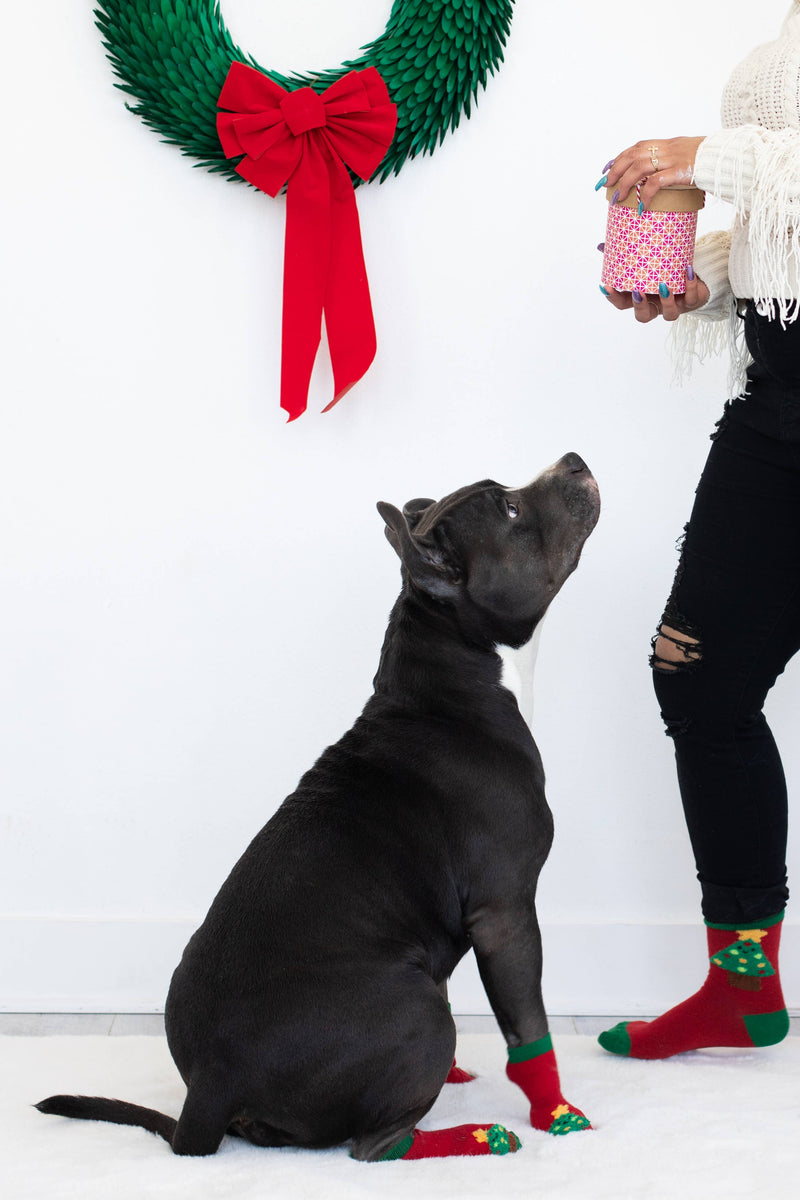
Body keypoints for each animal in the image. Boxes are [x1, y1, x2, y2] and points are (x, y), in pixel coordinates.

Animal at [37, 451, 599, 1161]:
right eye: (512, 509)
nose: (573, 460)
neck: (454, 675)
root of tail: (210, 1087)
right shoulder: (507, 912)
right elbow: (528, 1025)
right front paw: (556, 1111)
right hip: (417, 1008)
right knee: (373, 1146)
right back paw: (475, 1135)